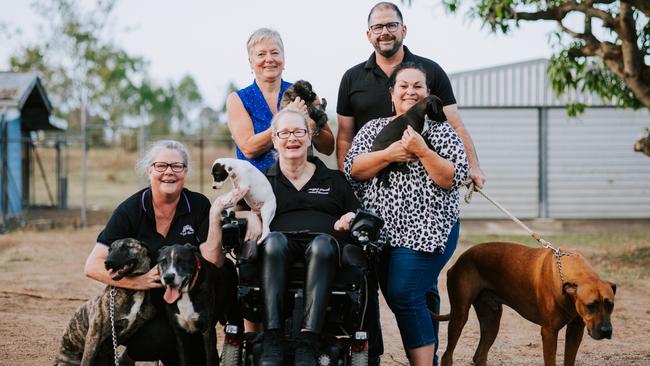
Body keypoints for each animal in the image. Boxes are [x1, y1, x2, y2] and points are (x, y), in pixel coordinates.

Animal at [53, 237, 154, 366]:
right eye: (109, 249)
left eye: (126, 247)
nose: (107, 262)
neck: (133, 291)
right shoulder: (94, 335)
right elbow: (86, 360)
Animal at [438, 243, 616, 366]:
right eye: (590, 305)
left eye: (610, 305)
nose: (606, 331)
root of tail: (459, 260)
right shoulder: (549, 332)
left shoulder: (576, 330)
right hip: (460, 315)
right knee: (447, 355)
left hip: (491, 320)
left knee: (480, 355)